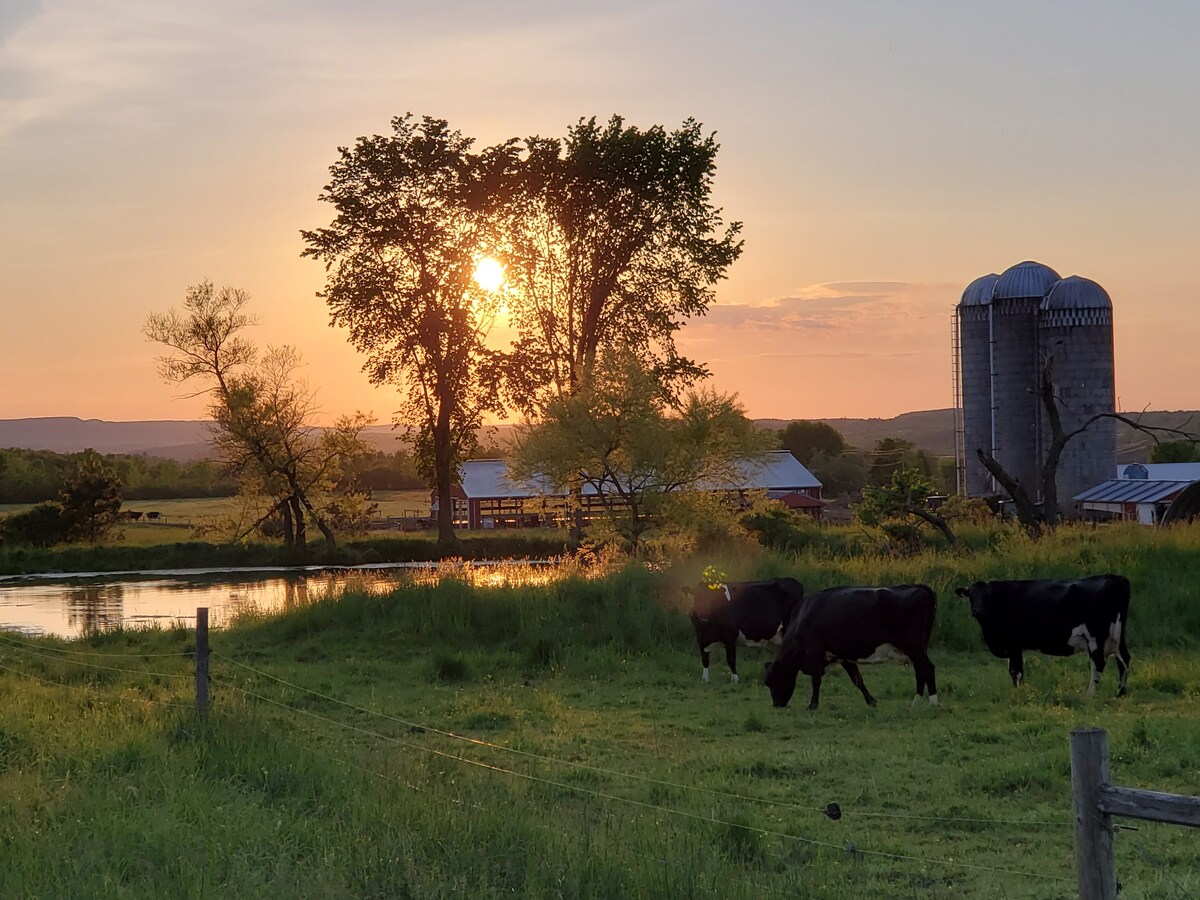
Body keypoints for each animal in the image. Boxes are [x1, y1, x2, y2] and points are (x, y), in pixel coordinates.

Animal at [763, 588, 940, 715]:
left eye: (772, 681)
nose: (777, 704)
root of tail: (921, 588)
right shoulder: (843, 657)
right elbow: (858, 680)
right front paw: (872, 702)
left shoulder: (815, 655)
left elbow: (816, 681)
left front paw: (812, 705)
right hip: (916, 650)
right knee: (921, 671)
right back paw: (916, 704)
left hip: (914, 647)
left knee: (927, 668)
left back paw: (931, 702)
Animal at [950, 573, 1128, 700]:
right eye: (971, 596)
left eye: (986, 596)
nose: (977, 611)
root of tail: (1113, 577)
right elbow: (1012, 670)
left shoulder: (1014, 643)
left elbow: (1016, 670)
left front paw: (1020, 693)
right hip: (1117, 637)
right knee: (1124, 659)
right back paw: (1120, 692)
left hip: (1095, 636)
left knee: (1098, 663)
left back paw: (1090, 694)